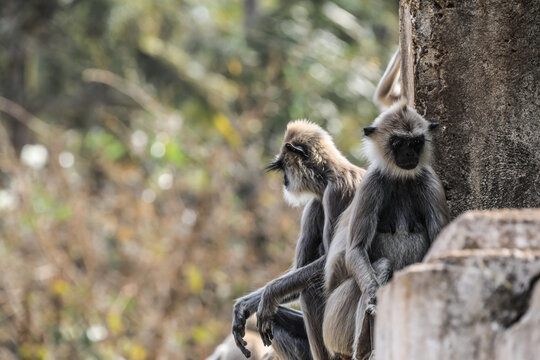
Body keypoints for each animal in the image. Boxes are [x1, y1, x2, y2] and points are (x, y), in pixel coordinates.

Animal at [230, 119, 364, 358]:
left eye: (283, 166)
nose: (284, 181)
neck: (330, 175)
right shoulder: (317, 202)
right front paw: (244, 306)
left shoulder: (337, 193)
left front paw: (270, 293)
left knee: (309, 290)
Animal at [322, 102, 450, 360]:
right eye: (398, 143)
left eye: (416, 142)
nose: (410, 155)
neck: (400, 179)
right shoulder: (371, 184)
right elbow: (355, 250)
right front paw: (375, 301)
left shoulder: (430, 183)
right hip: (334, 321)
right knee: (381, 265)